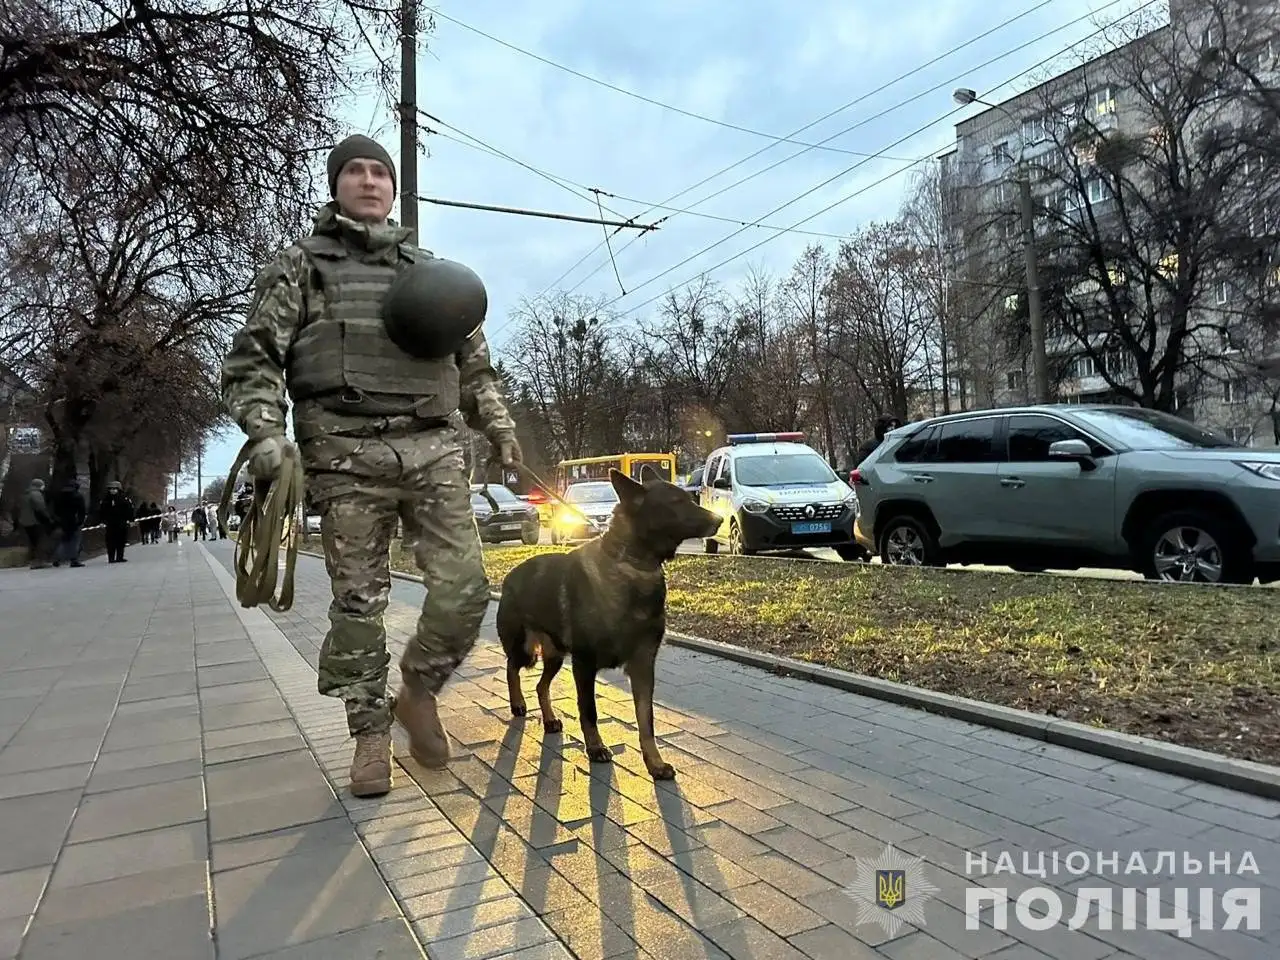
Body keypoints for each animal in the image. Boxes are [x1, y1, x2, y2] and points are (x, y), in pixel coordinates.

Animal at [496, 465, 727, 783]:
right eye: (676, 503)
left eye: (688, 499)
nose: (720, 520)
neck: (633, 565)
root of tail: (508, 576)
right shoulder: (584, 665)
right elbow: (589, 712)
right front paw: (595, 748)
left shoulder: (643, 667)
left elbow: (646, 721)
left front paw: (654, 763)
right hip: (526, 649)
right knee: (511, 668)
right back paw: (518, 703)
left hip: (555, 657)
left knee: (542, 685)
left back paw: (550, 719)